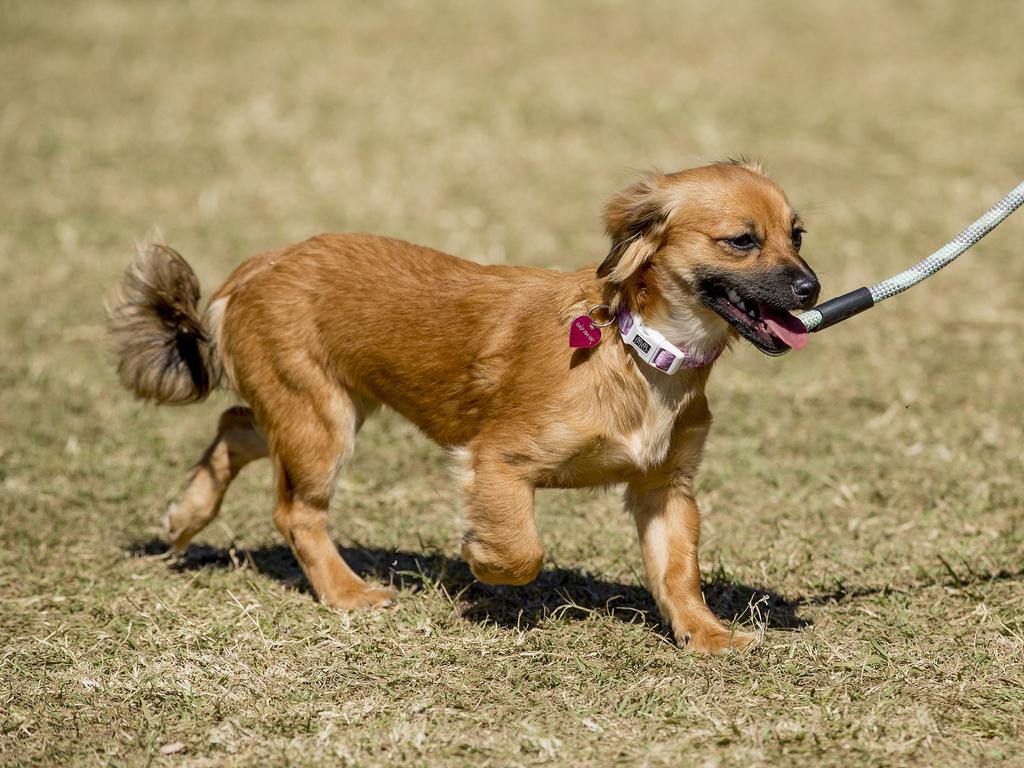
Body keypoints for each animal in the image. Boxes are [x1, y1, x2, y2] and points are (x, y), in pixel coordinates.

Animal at [108, 159, 819, 651]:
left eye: (798, 235)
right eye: (741, 240)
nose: (812, 287)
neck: (640, 349)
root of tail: (256, 266)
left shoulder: (665, 488)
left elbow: (678, 571)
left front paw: (707, 633)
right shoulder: (498, 460)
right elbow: (523, 550)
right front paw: (480, 560)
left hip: (318, 406)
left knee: (235, 425)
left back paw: (186, 516)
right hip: (321, 423)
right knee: (295, 512)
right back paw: (346, 592)